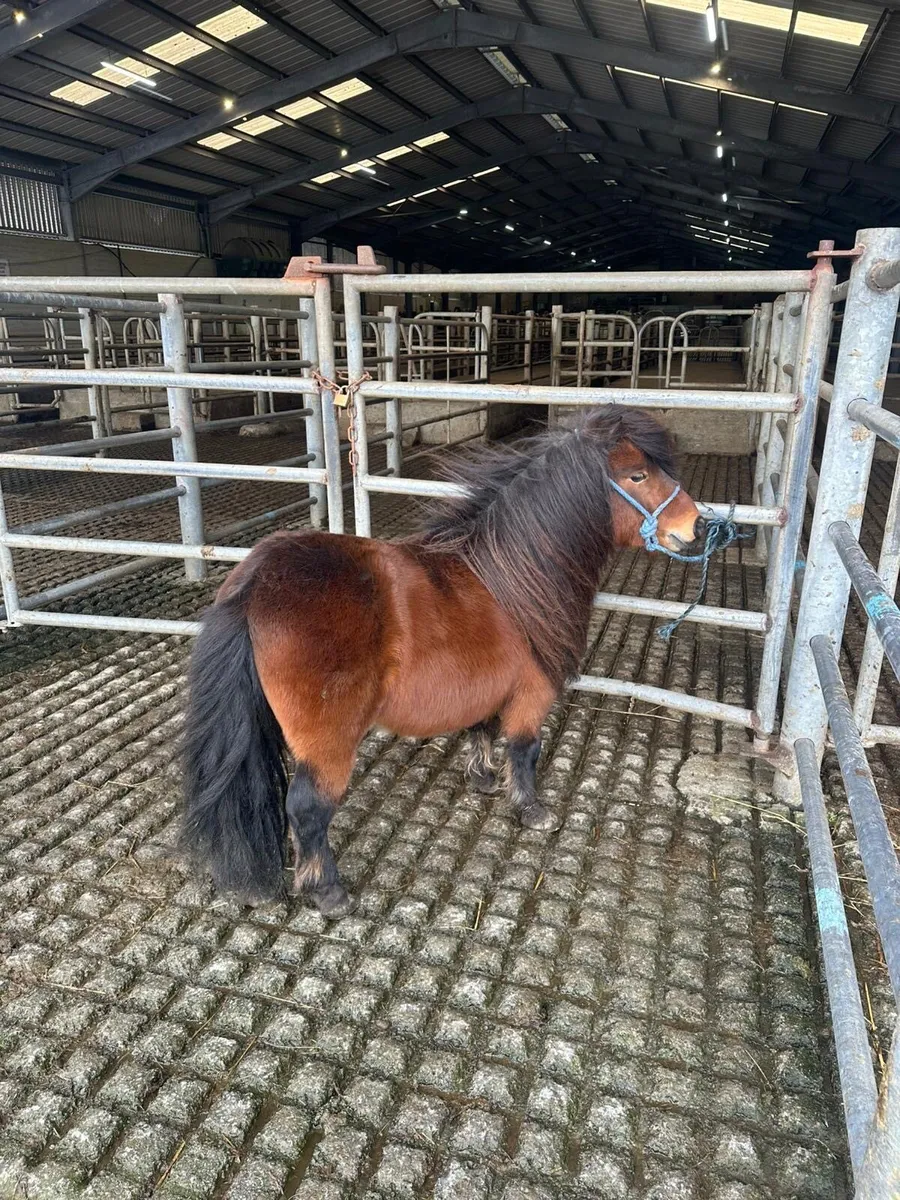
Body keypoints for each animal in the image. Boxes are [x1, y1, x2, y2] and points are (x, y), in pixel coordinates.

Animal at [180, 405, 706, 918]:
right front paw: (531, 810)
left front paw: (484, 779)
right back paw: (329, 893)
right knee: (307, 809)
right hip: (327, 741)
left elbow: (482, 730)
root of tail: (255, 581)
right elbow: (525, 749)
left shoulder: (488, 684)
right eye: (638, 475)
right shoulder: (532, 691)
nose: (698, 526)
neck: (512, 573)